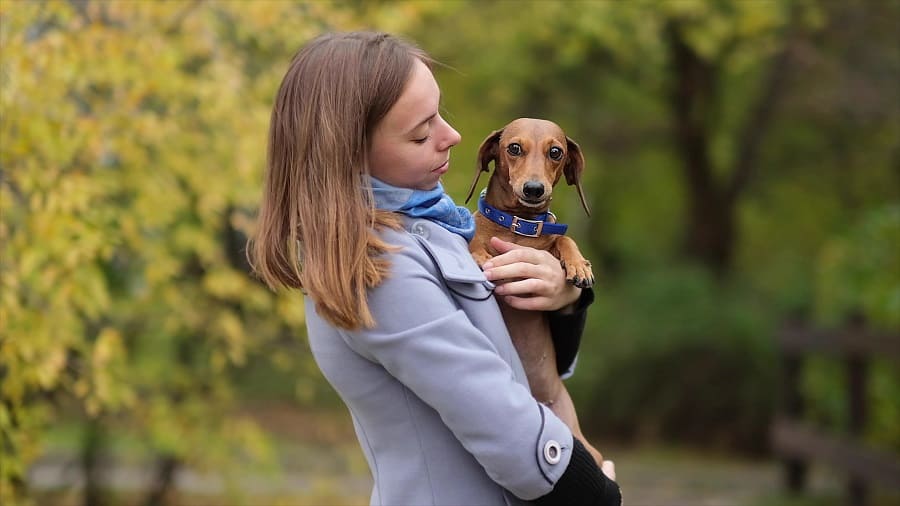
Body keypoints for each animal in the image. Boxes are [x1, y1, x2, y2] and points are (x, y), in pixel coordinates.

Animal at [464, 117, 604, 466]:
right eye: (514, 148)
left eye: (555, 152)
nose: (534, 189)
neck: (519, 227)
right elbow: (473, 240)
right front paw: (479, 255)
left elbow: (563, 237)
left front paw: (578, 265)